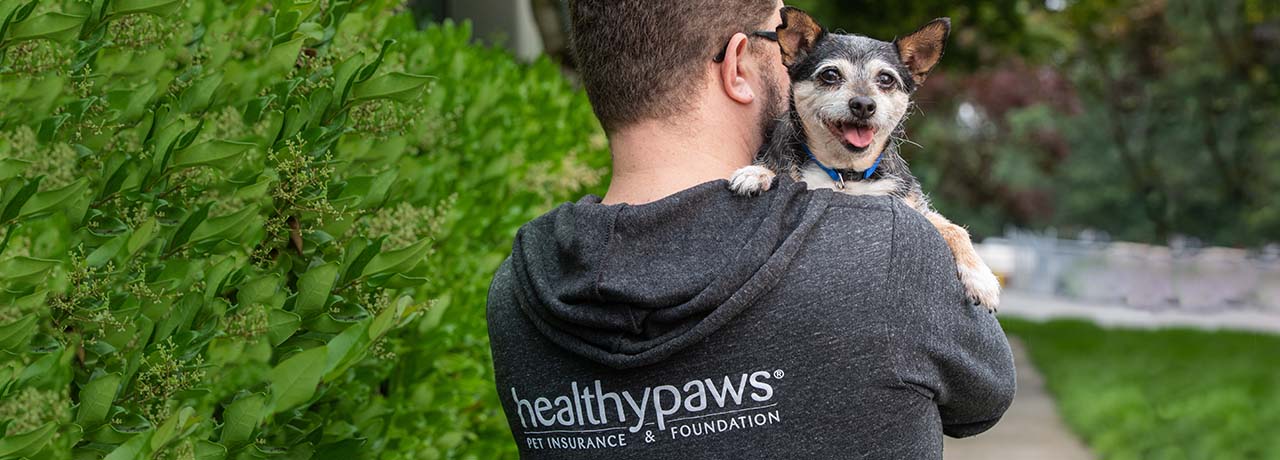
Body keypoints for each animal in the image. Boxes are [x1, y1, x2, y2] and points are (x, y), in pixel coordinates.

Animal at [732, 7, 998, 311]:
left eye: (886, 79)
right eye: (831, 75)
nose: (863, 104)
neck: (845, 173)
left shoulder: (914, 206)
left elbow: (955, 229)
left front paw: (981, 278)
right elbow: (776, 164)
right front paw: (757, 173)